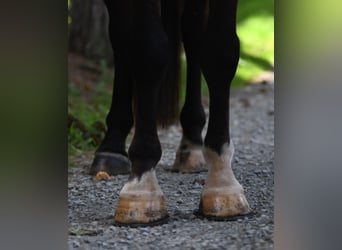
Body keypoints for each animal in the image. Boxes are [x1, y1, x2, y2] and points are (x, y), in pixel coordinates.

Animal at [89, 0, 250, 226]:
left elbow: (221, 52)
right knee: (120, 37)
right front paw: (142, 187)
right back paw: (111, 148)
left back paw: (192, 139)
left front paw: (223, 184)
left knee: (193, 33)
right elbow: (148, 50)